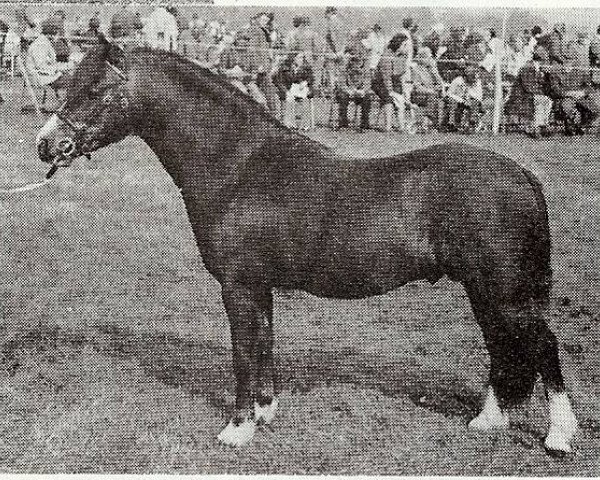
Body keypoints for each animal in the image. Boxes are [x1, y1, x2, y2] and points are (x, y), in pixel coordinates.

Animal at [35, 39, 580, 456]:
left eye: (97, 89)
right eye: (69, 84)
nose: (46, 144)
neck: (237, 167)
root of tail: (522, 175)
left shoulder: (238, 286)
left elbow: (242, 351)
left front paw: (237, 430)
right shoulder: (259, 286)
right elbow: (264, 344)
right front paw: (265, 412)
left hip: (504, 292)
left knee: (541, 346)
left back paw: (558, 437)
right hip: (486, 291)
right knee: (503, 347)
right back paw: (488, 421)